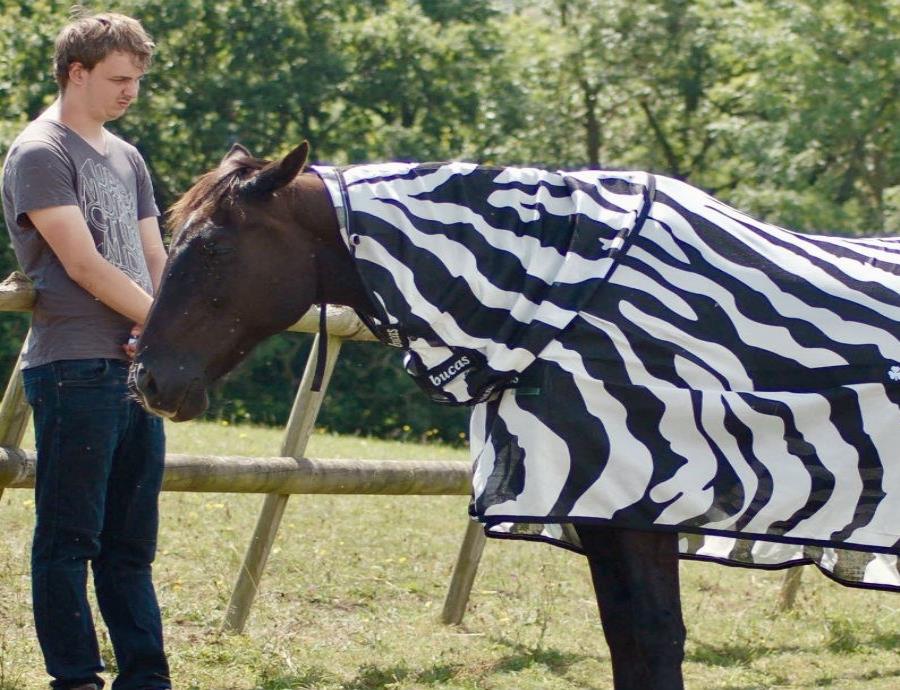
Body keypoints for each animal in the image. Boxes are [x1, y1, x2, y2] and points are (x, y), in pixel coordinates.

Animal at [134, 141, 900, 688]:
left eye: (212, 246)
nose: (148, 378)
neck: (572, 305)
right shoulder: (606, 511)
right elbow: (633, 645)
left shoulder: (639, 503)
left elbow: (655, 644)